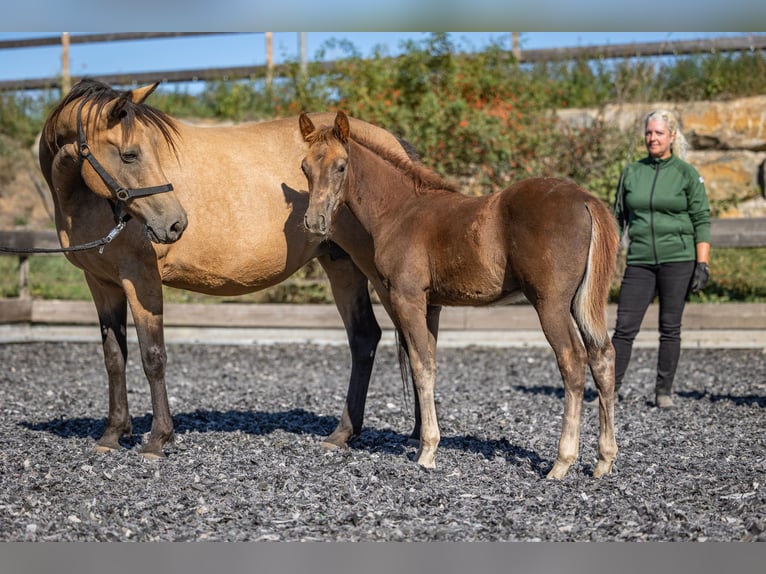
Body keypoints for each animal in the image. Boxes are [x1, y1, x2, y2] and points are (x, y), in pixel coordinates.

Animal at [38, 79, 414, 459]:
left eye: (149, 150)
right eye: (130, 154)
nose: (175, 223)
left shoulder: (140, 278)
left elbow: (152, 356)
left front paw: (158, 438)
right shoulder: (102, 282)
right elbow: (114, 357)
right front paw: (112, 435)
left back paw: (415, 437)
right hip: (341, 265)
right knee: (365, 337)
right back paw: (344, 434)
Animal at [298, 111, 620, 479]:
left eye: (341, 166)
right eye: (305, 167)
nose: (314, 222)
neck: (400, 210)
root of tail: (585, 199)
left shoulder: (408, 298)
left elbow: (421, 366)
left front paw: (427, 451)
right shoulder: (432, 306)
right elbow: (430, 364)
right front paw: (424, 443)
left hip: (551, 303)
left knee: (573, 361)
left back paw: (561, 463)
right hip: (582, 302)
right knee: (602, 357)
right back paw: (604, 460)